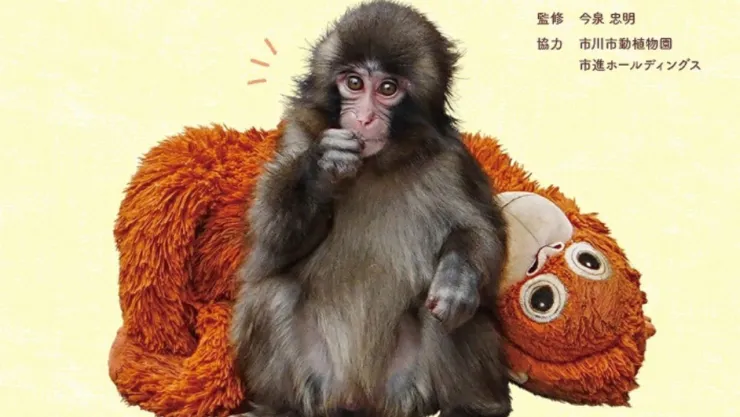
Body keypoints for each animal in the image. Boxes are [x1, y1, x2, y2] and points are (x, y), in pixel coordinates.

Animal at [230, 2, 511, 417]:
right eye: (354, 83)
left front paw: (457, 278)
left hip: (408, 388)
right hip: (321, 380)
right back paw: (276, 407)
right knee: (271, 293)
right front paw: (320, 169)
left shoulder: (451, 162)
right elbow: (269, 248)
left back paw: (475, 407)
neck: (376, 164)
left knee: (460, 315)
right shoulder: (297, 136)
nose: (363, 118)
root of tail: (358, 397)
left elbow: (479, 234)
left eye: (388, 88)